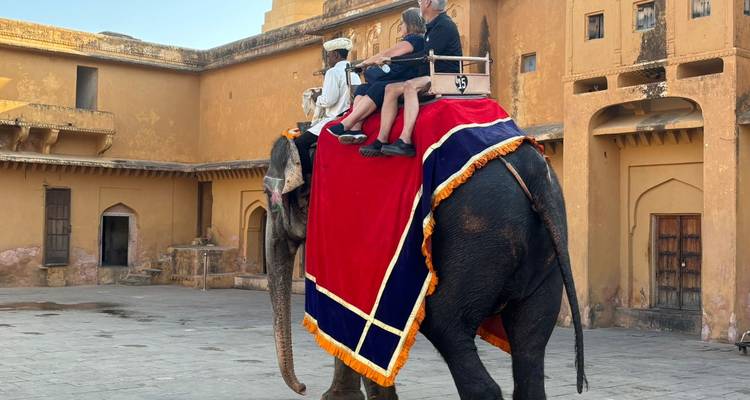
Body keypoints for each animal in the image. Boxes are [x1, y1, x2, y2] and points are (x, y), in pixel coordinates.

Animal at [263, 136, 587, 400]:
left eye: (269, 196)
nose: (302, 388)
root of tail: (534, 175)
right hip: (547, 255)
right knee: (529, 345)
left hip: (475, 240)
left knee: (446, 325)